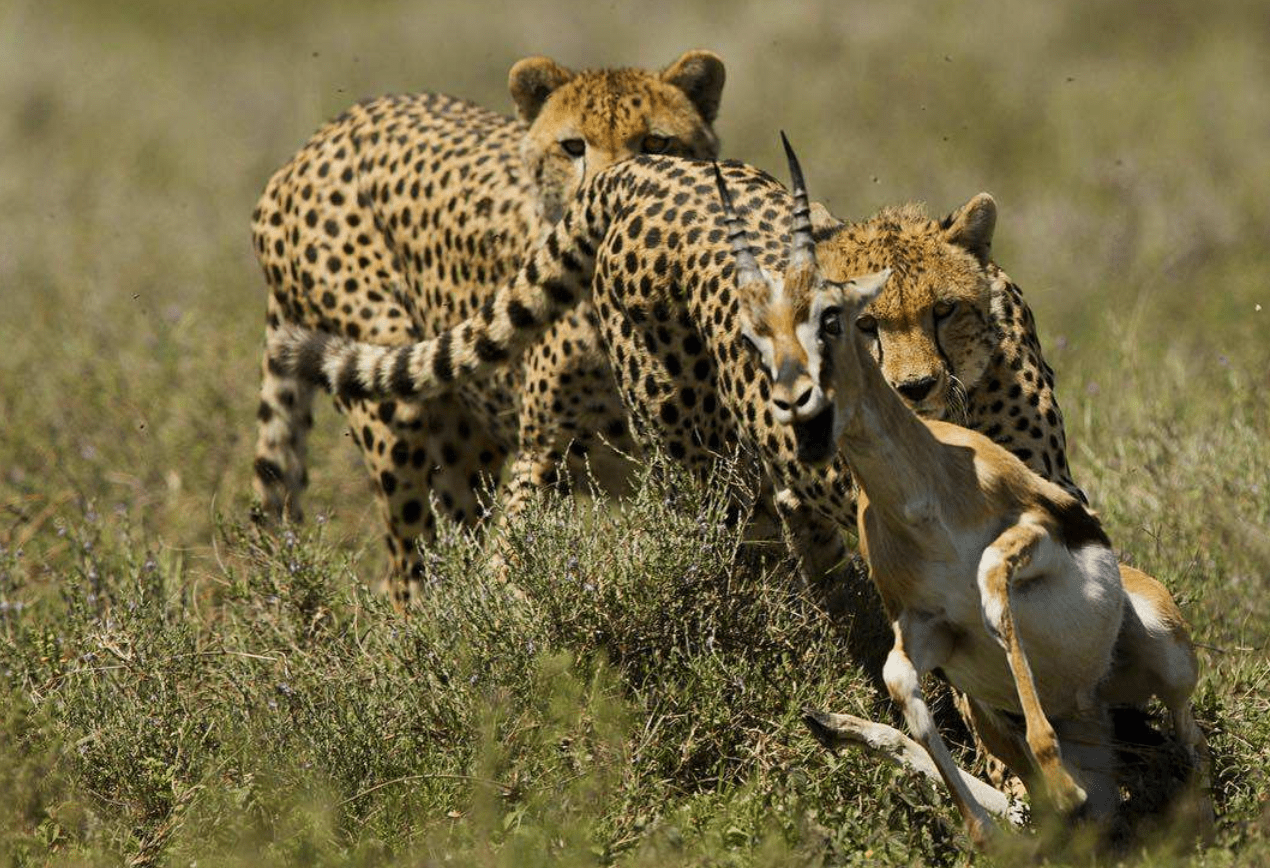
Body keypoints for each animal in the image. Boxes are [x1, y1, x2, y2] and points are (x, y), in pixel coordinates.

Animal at [248, 50, 731, 599]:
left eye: (656, 143)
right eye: (573, 147)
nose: (609, 191)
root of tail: (325, 134)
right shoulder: (543, 452)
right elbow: (512, 568)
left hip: (466, 447)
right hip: (395, 401)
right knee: (407, 568)